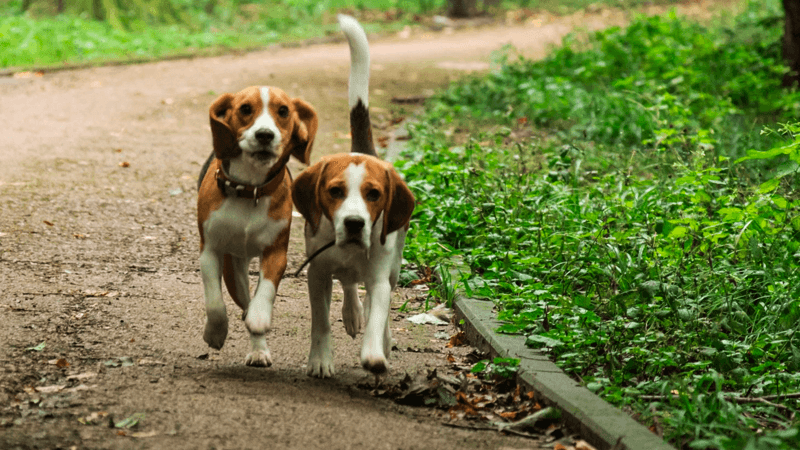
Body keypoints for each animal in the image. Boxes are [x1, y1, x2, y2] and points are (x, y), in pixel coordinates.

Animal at [197, 84, 318, 366]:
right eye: (245, 109)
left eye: (283, 111)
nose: (265, 135)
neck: (249, 190)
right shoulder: (210, 251)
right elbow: (215, 303)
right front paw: (215, 333)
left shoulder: (276, 252)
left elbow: (266, 291)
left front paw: (260, 316)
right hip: (234, 269)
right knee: (242, 300)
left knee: (250, 305)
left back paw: (259, 349)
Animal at [292, 14, 416, 376]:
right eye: (335, 191)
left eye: (374, 194)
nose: (354, 224)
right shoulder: (317, 274)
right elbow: (320, 321)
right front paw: (320, 359)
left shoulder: (379, 278)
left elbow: (378, 314)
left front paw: (374, 353)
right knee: (347, 283)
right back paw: (350, 311)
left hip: (394, 266)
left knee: (378, 302)